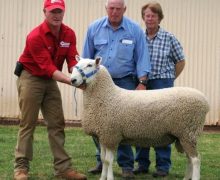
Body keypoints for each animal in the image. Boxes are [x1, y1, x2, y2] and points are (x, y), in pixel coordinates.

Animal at [71, 55, 210, 180]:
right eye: (76, 65)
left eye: (89, 65)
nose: (72, 80)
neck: (107, 95)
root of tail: (205, 101)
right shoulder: (103, 136)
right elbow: (104, 159)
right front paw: (102, 177)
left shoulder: (111, 135)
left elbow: (108, 161)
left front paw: (109, 178)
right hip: (183, 136)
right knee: (190, 159)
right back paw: (186, 177)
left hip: (188, 132)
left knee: (196, 159)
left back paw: (194, 177)